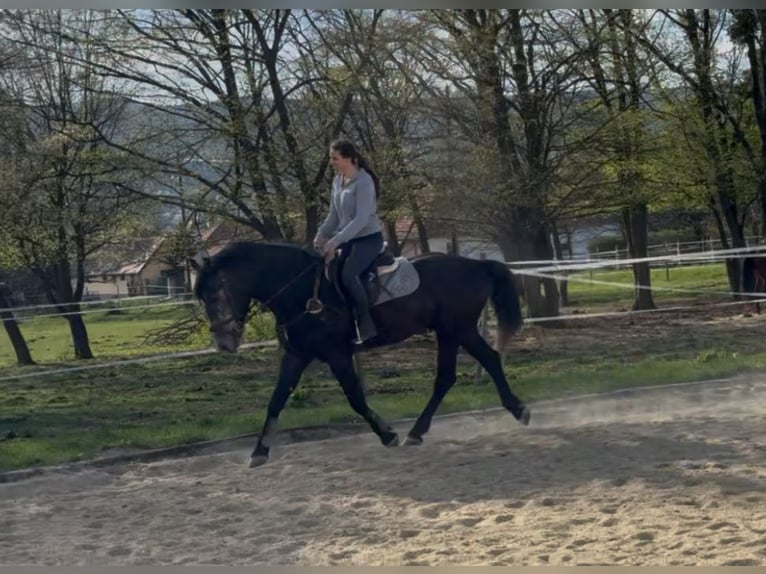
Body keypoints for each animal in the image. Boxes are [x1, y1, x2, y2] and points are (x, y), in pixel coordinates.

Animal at [190, 241, 530, 468]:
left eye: (216, 293)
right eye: (202, 298)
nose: (223, 343)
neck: (301, 292)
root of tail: (477, 265)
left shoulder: (337, 354)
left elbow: (355, 398)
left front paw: (387, 435)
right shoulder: (297, 354)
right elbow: (276, 400)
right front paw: (259, 452)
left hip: (457, 329)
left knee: (483, 362)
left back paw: (518, 411)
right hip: (450, 332)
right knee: (452, 375)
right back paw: (420, 432)